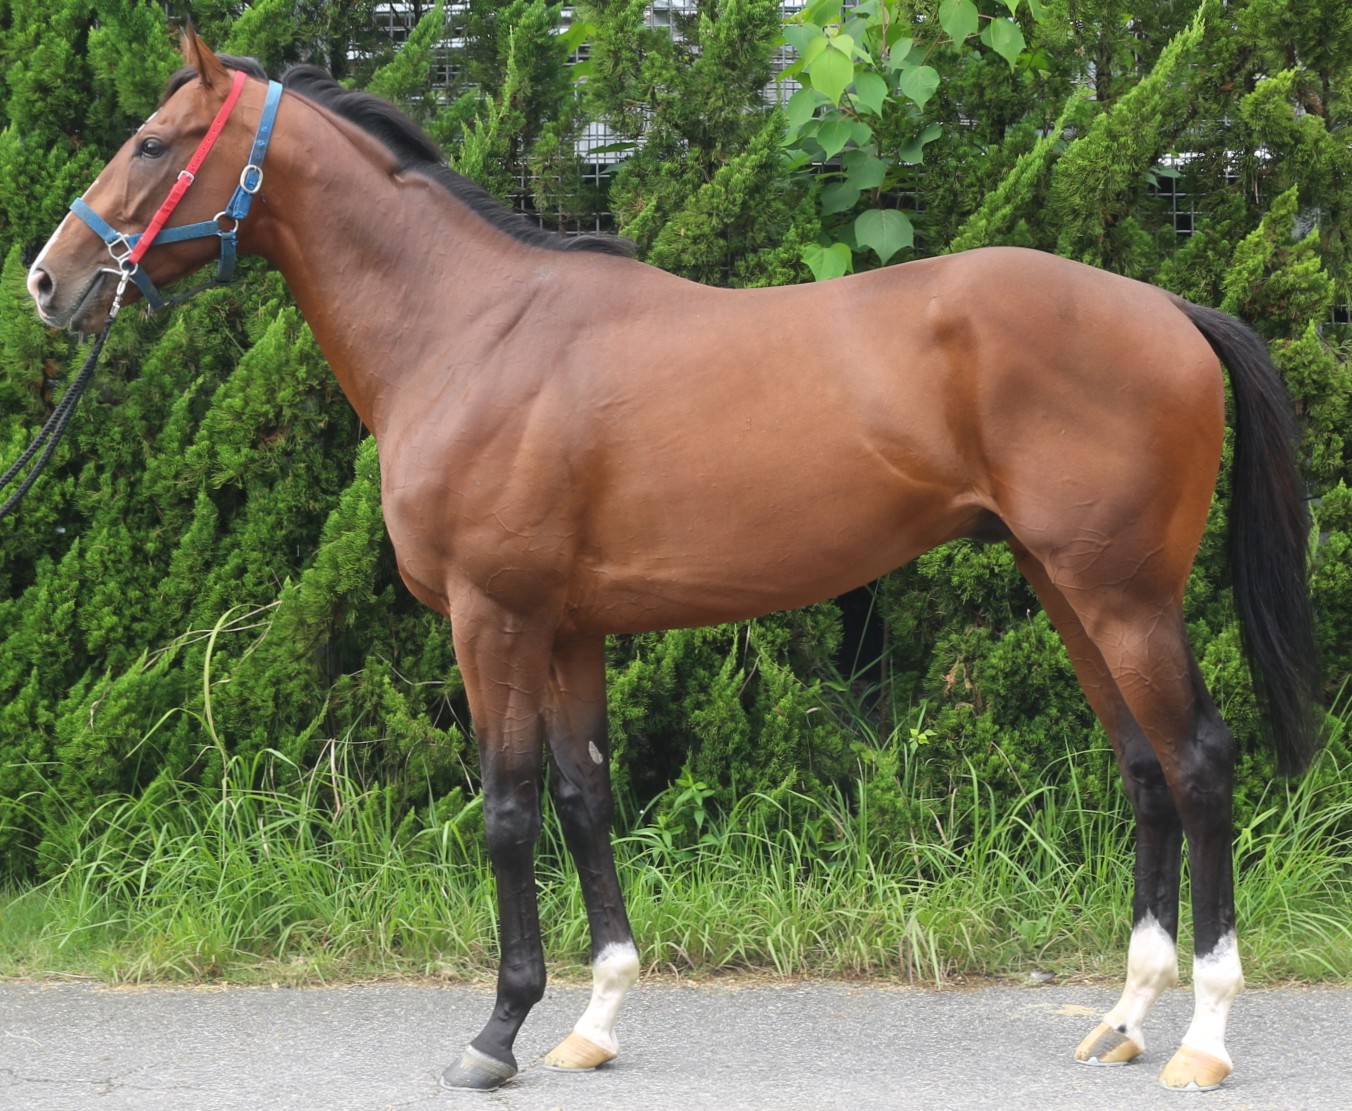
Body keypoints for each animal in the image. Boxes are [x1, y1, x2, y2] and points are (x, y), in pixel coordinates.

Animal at [27, 31, 1321, 1093]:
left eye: (152, 142)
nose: (50, 279)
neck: (472, 330)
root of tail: (1165, 304)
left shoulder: (490, 616)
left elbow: (505, 808)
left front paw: (494, 1032)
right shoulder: (566, 627)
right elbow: (583, 797)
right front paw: (591, 1019)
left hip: (1121, 594)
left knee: (1197, 763)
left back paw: (1203, 1039)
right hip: (1069, 588)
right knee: (1141, 768)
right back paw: (1124, 1019)